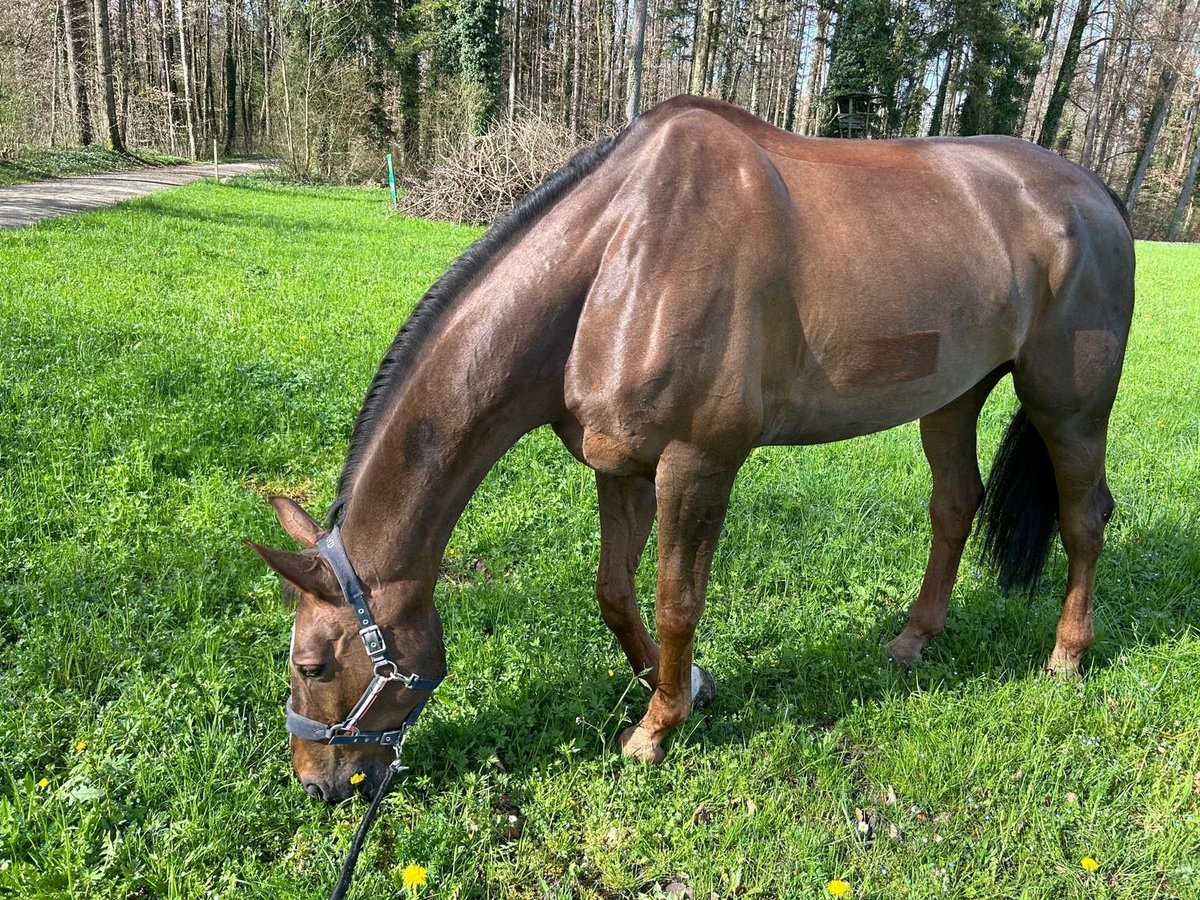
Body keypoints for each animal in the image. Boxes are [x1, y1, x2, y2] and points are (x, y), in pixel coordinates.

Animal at [246, 97, 1132, 801]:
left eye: (313, 665)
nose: (317, 783)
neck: (623, 256)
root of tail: (1098, 196)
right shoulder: (620, 467)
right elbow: (614, 592)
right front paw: (686, 687)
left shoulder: (698, 463)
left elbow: (678, 601)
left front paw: (656, 730)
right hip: (951, 399)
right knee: (954, 506)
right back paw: (914, 641)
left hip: (1070, 403)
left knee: (1085, 516)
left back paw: (1066, 655)